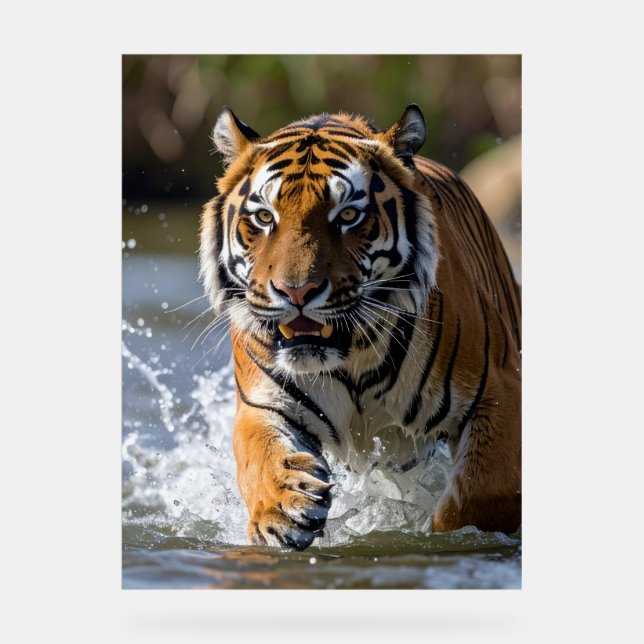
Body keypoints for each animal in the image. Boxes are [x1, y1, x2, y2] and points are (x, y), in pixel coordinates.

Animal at [199, 104, 521, 550]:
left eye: (348, 215)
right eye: (264, 217)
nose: (296, 292)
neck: (352, 356)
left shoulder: (499, 392)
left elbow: (482, 495)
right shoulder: (262, 402)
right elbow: (260, 458)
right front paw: (285, 510)